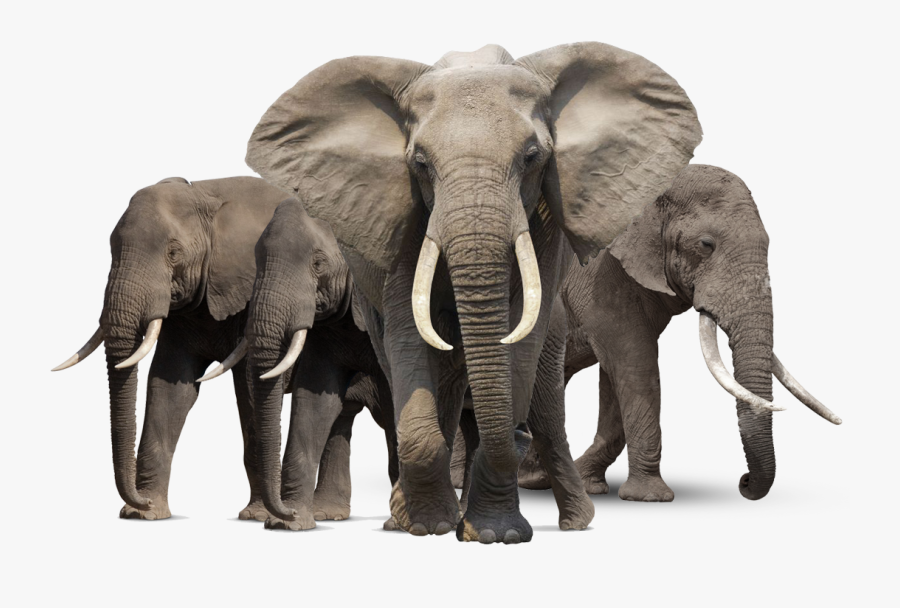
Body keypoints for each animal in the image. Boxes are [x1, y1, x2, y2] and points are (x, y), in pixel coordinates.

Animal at [52, 176, 288, 520]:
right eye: (111, 249)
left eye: (174, 253)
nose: (140, 500)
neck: (208, 193)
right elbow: (169, 387)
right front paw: (143, 513)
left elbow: (251, 386)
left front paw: (257, 516)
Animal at [208, 198, 397, 530]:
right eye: (256, 263)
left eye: (318, 264)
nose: (285, 512)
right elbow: (314, 404)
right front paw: (289, 523)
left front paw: (402, 523)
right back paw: (327, 514)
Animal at [246, 42, 702, 542]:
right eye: (420, 164)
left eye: (532, 157)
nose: (518, 434)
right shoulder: (403, 218)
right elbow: (408, 333)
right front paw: (430, 526)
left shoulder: (545, 224)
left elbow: (520, 335)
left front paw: (494, 534)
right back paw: (409, 519)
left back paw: (571, 522)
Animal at [502, 164, 840, 501]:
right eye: (706, 244)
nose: (744, 482)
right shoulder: (600, 275)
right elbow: (635, 365)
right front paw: (650, 498)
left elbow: (616, 378)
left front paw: (590, 485)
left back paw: (533, 480)